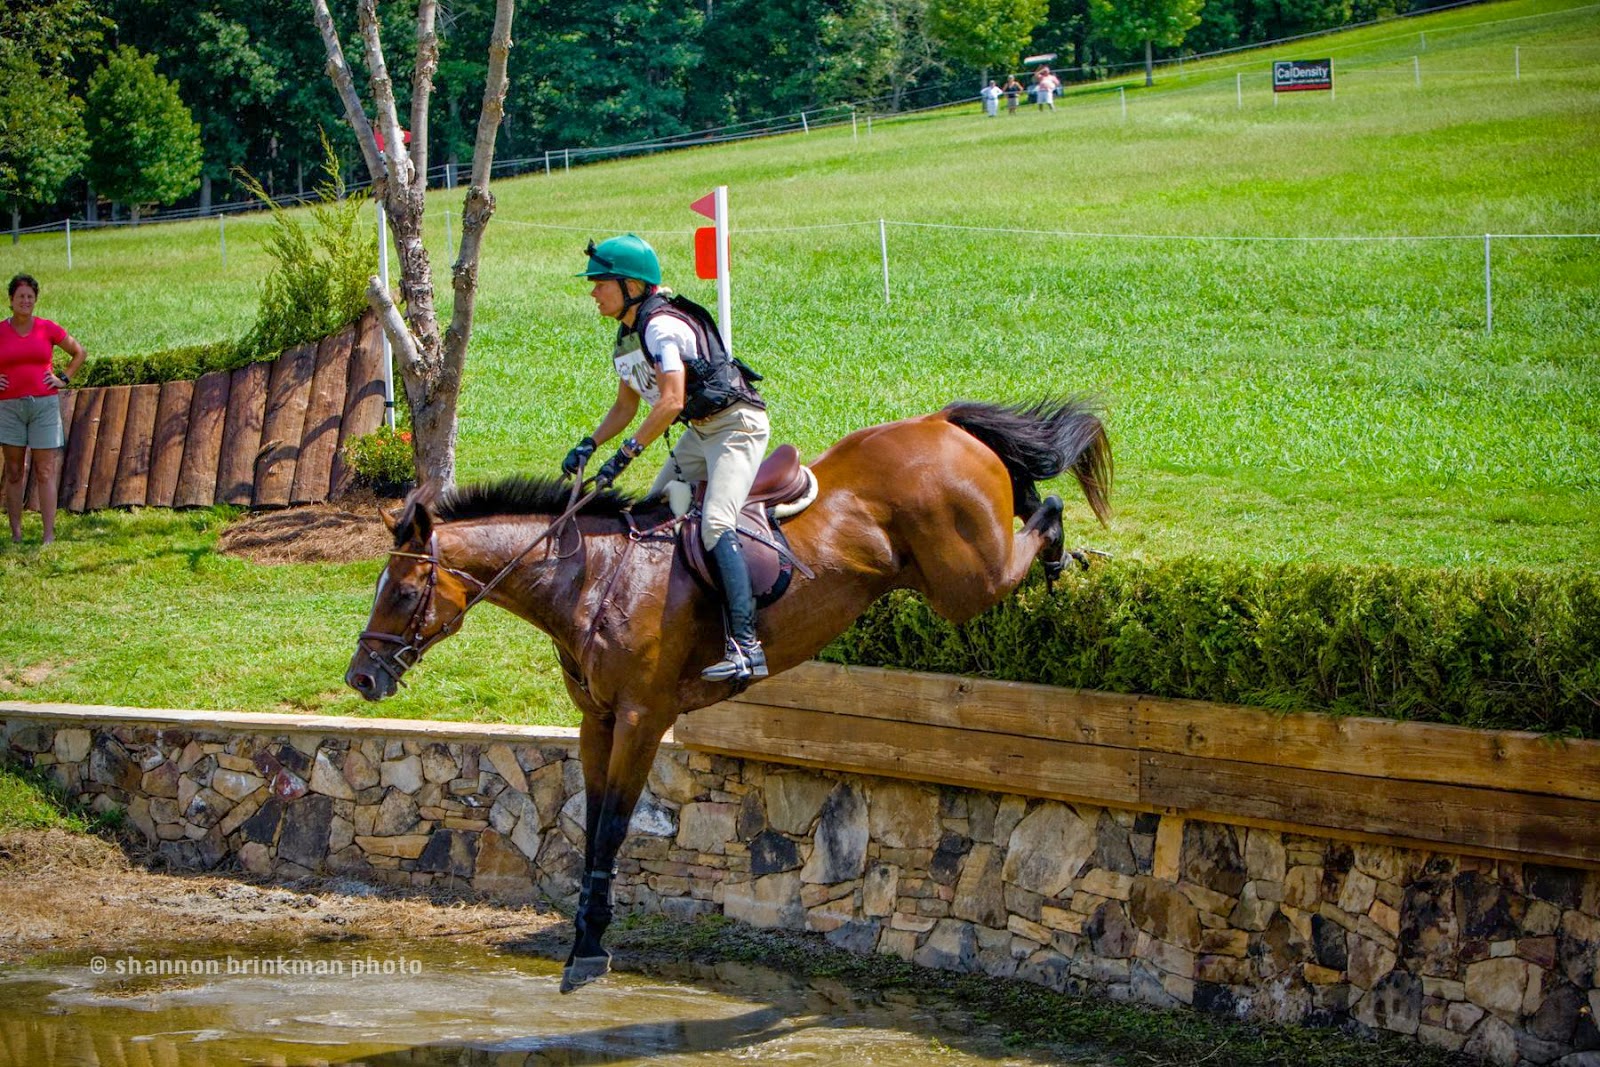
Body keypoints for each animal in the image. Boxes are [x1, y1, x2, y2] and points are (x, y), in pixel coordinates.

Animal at [346, 397, 1111, 993]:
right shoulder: (598, 720)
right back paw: (1062, 556)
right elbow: (590, 823)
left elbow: (615, 823)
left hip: (964, 582)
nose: (361, 677)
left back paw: (1059, 549)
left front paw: (589, 950)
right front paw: (585, 937)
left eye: (405, 593)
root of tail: (941, 424)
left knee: (1040, 514)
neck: (590, 577)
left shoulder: (642, 716)